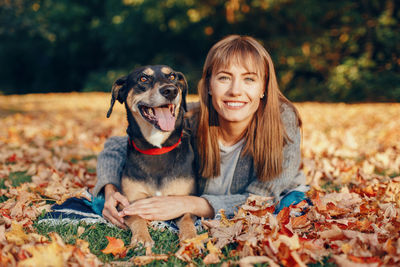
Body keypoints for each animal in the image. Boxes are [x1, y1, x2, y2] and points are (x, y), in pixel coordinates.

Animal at [104, 65, 195, 249]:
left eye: (172, 76)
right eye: (143, 79)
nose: (170, 90)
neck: (157, 148)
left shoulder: (184, 200)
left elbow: (188, 218)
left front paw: (191, 238)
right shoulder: (130, 202)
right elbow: (137, 217)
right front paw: (142, 237)